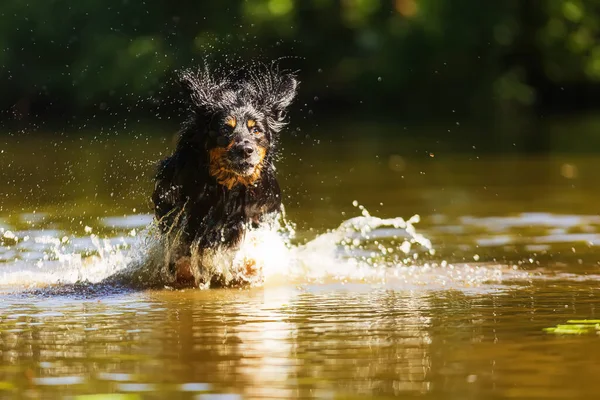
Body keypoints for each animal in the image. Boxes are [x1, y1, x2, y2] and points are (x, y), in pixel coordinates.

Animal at [152, 64, 298, 286]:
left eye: (256, 130)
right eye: (225, 129)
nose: (245, 150)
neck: (231, 188)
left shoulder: (259, 213)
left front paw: (249, 268)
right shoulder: (185, 216)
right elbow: (185, 252)